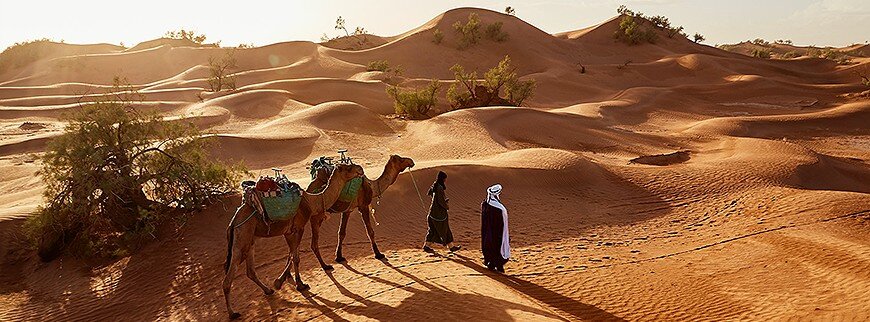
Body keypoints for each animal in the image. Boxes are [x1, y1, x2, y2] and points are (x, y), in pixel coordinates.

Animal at [225, 164, 364, 320]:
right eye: (347, 168)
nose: (360, 169)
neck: (310, 201)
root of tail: (233, 221)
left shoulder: (289, 231)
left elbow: (292, 254)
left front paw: (284, 281)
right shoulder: (298, 228)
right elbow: (296, 257)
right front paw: (299, 284)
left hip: (250, 239)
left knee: (250, 271)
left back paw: (268, 290)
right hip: (242, 236)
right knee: (228, 278)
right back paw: (233, 313)